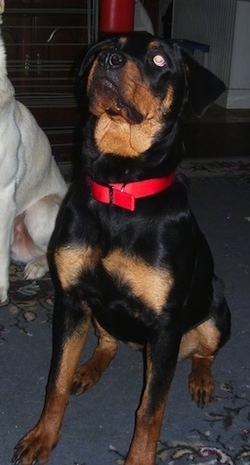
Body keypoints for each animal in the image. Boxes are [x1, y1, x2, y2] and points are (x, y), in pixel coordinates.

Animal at [12, 31, 229, 464]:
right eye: (112, 45)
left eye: (160, 59)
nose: (110, 60)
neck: (119, 188)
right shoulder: (72, 300)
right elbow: (55, 382)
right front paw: (42, 436)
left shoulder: (165, 326)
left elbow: (149, 412)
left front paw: (139, 458)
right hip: (99, 315)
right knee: (107, 343)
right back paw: (86, 370)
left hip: (216, 308)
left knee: (205, 352)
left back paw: (201, 379)